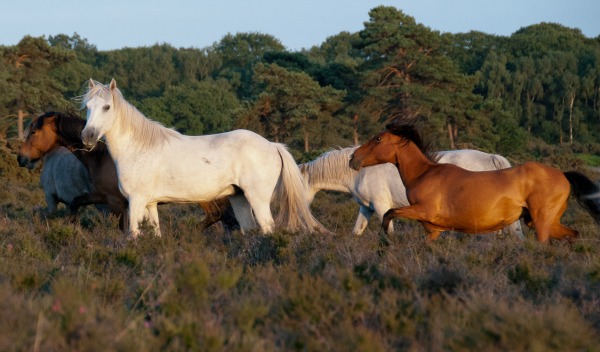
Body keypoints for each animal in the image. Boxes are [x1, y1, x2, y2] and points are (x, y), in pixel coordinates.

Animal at [17, 111, 237, 232]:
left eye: (34, 131)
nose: (21, 158)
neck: (102, 157)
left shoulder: (115, 202)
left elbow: (123, 228)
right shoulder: (102, 197)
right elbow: (75, 203)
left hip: (204, 197)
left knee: (216, 215)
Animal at [79, 78, 328, 238]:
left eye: (107, 107)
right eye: (88, 107)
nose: (87, 137)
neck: (139, 148)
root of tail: (273, 146)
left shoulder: (136, 201)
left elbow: (133, 235)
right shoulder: (150, 204)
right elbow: (155, 234)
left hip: (257, 199)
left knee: (268, 229)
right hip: (239, 199)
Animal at [298, 144, 524, 238]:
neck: (360, 171)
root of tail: (491, 158)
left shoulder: (382, 207)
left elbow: (389, 231)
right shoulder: (367, 208)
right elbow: (357, 231)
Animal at [350, 121, 600, 242]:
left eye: (378, 138)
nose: (353, 159)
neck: (425, 174)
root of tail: (563, 175)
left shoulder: (423, 210)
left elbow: (389, 214)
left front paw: (386, 239)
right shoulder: (434, 230)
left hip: (541, 223)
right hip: (541, 221)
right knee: (573, 235)